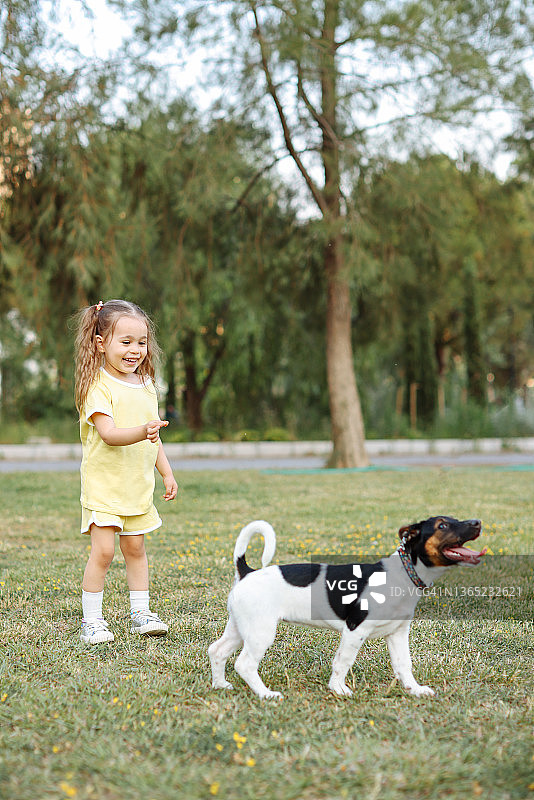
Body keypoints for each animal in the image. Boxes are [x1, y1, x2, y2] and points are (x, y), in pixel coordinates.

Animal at [211, 520, 488, 700]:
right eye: (442, 526)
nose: (477, 522)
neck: (402, 574)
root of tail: (248, 572)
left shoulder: (398, 633)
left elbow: (404, 664)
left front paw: (414, 689)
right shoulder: (355, 630)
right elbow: (343, 662)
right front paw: (338, 689)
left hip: (240, 628)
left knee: (217, 650)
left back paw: (220, 685)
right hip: (261, 632)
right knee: (245, 664)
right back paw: (266, 694)